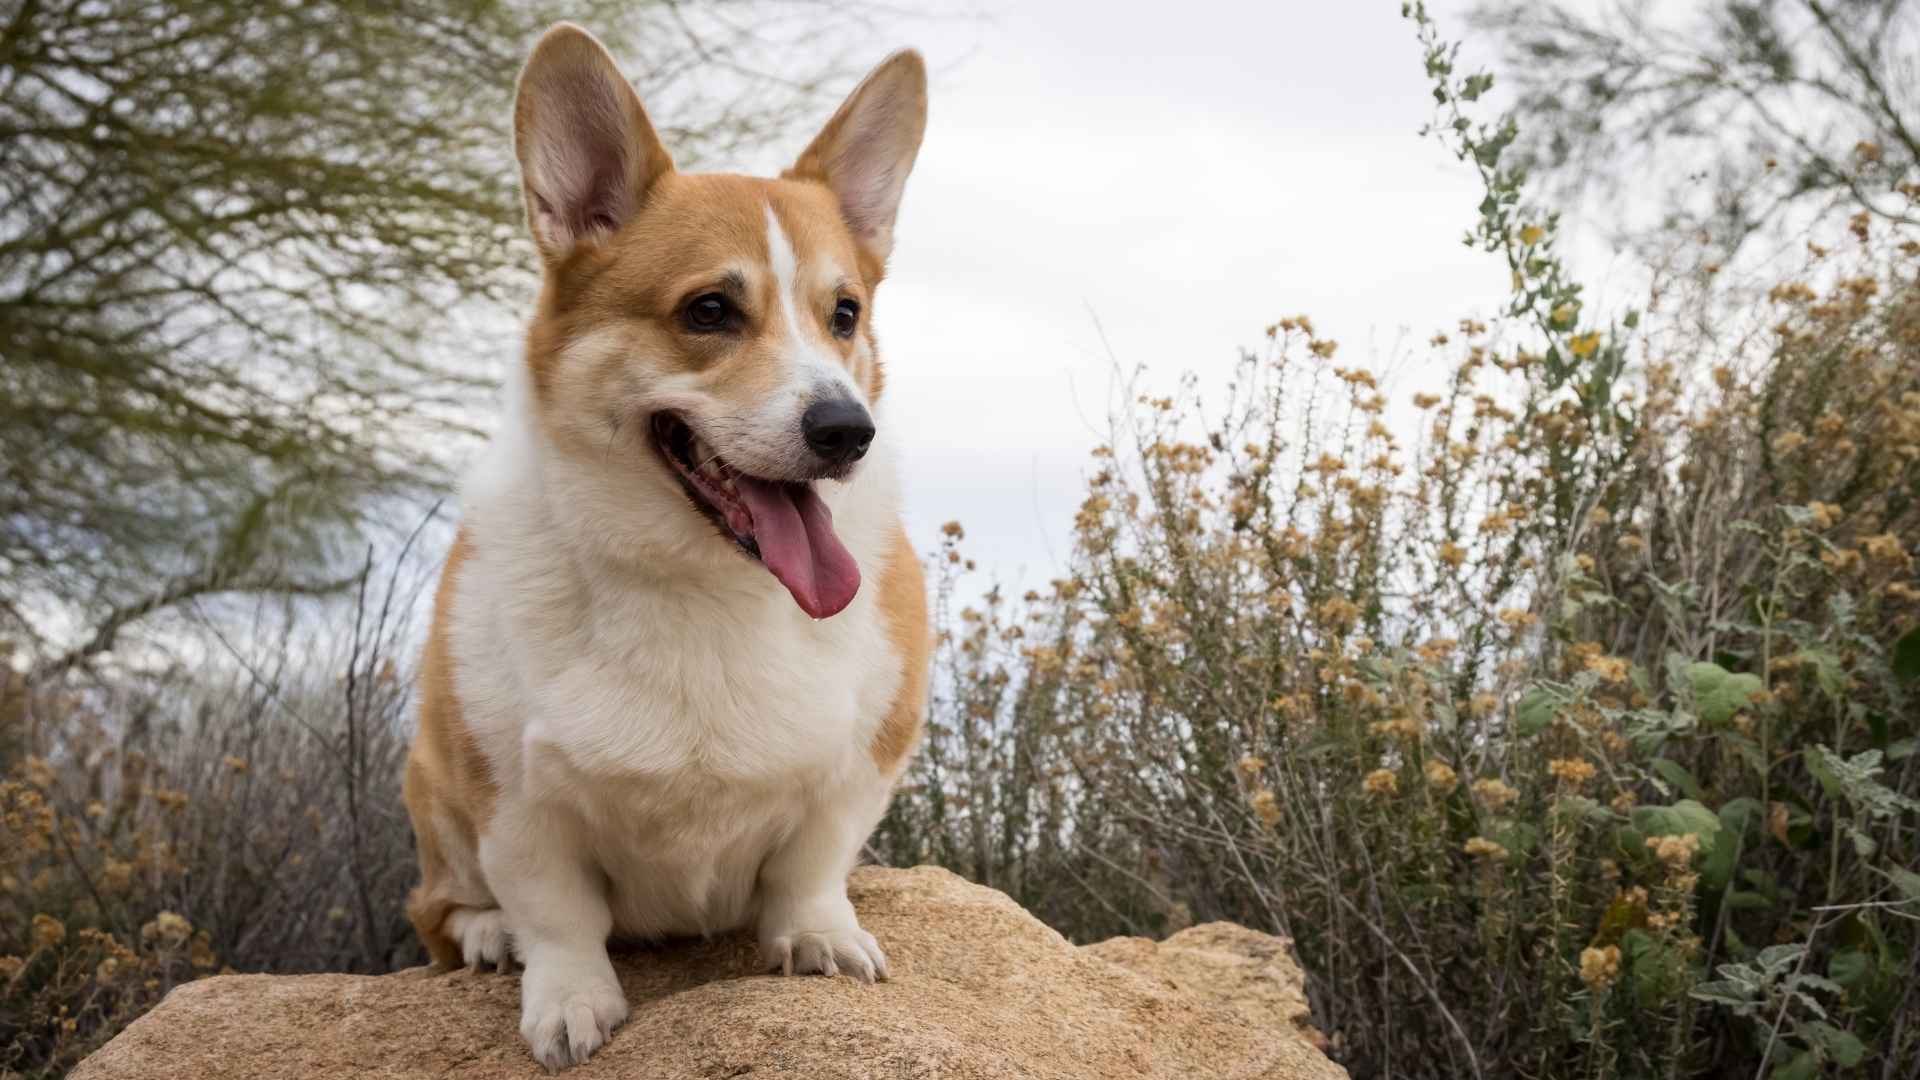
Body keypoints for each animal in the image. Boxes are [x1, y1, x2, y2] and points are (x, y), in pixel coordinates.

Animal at [408, 25, 933, 1068]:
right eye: (709, 312)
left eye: (844, 314)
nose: (847, 431)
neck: (706, 583)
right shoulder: (511, 799)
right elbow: (555, 912)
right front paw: (568, 1002)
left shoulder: (864, 764)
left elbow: (814, 864)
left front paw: (820, 937)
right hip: (427, 781)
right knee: (438, 908)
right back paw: (486, 934)